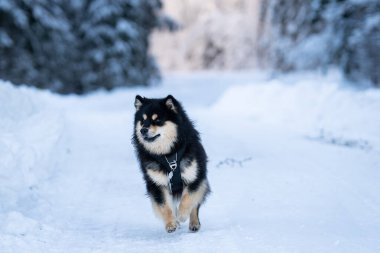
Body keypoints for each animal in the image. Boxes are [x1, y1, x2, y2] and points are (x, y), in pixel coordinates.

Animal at [133, 95, 211, 233]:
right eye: (142, 121)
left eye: (158, 120)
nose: (143, 130)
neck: (169, 154)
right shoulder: (157, 184)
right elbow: (164, 206)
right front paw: (170, 223)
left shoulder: (195, 178)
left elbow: (188, 198)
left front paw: (182, 215)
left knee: (195, 205)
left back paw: (194, 223)